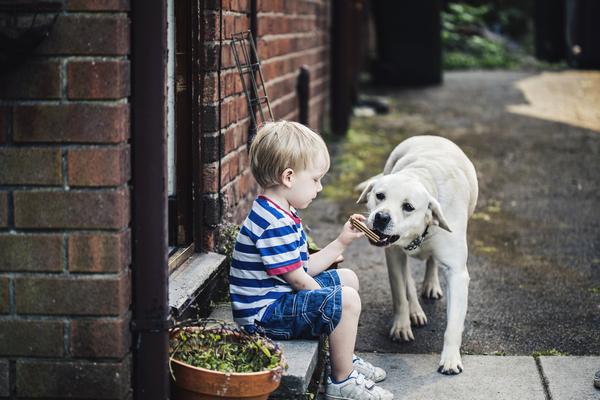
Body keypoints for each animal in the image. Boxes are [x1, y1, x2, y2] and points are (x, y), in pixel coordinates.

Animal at [356, 135, 478, 376]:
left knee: (431, 263)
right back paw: (415, 310)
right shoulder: (393, 256)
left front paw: (450, 358)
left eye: (408, 207)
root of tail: (431, 136)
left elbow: (454, 324)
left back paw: (430, 285)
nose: (381, 217)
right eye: (379, 196)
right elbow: (399, 294)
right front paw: (402, 325)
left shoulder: (457, 273)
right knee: (408, 282)